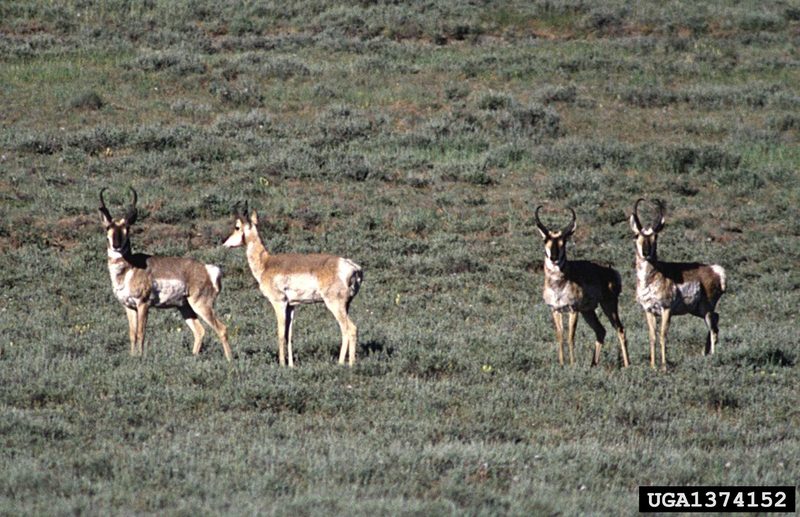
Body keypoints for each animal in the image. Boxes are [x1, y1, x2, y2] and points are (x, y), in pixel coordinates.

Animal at [98, 187, 233, 360]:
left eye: (127, 228)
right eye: (108, 228)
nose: (116, 245)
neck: (129, 269)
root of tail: (207, 269)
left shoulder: (143, 304)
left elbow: (141, 333)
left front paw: (140, 358)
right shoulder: (128, 306)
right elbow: (132, 334)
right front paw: (132, 357)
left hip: (201, 305)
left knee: (221, 329)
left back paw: (229, 360)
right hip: (185, 308)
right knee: (199, 331)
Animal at [223, 200, 364, 364]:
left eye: (237, 227)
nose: (225, 243)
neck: (266, 263)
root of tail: (353, 267)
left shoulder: (279, 303)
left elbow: (280, 333)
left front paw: (282, 364)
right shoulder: (291, 306)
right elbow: (289, 336)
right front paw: (291, 365)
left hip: (335, 305)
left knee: (350, 329)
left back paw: (344, 364)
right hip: (345, 306)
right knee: (347, 330)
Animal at [536, 206, 628, 366]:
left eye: (564, 241)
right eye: (545, 240)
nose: (554, 258)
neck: (559, 285)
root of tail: (610, 271)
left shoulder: (573, 310)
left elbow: (570, 337)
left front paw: (572, 364)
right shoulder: (555, 310)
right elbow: (560, 337)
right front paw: (562, 364)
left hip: (608, 305)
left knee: (620, 329)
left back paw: (628, 365)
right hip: (588, 311)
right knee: (601, 330)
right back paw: (593, 365)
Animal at [628, 198, 728, 370]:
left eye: (656, 237)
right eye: (636, 235)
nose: (646, 253)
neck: (652, 277)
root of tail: (715, 270)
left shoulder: (666, 309)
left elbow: (663, 335)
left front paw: (663, 366)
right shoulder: (649, 310)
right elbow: (652, 336)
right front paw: (653, 365)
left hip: (706, 308)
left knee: (714, 328)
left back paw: (713, 357)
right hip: (698, 310)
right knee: (715, 319)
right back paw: (705, 354)